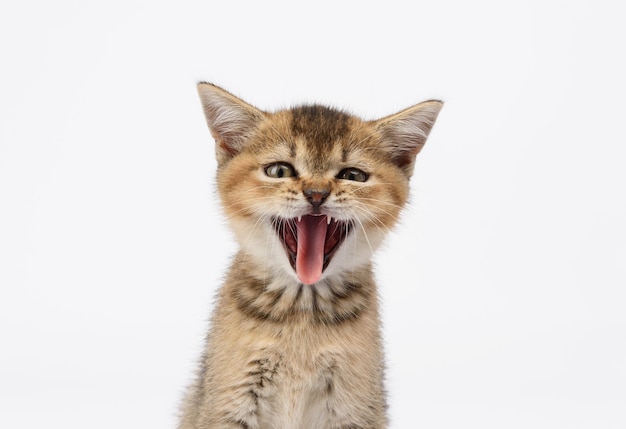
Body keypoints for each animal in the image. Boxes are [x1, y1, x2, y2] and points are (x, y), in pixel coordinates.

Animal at [178, 83, 442, 428]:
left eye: (353, 175)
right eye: (279, 170)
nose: (316, 194)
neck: (303, 307)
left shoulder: (355, 406)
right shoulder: (228, 404)